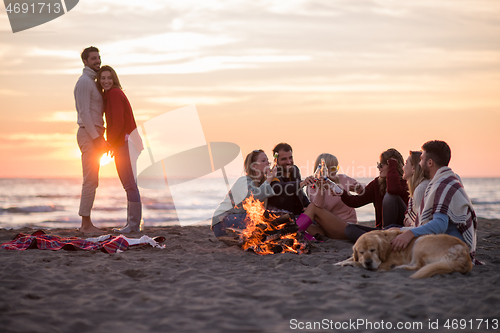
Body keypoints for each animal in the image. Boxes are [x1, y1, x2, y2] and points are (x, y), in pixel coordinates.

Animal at [336, 228, 472, 278]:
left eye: (373, 250)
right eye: (361, 252)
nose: (368, 262)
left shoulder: (385, 264)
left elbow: (358, 263)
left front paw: (350, 263)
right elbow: (352, 258)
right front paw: (341, 261)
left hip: (421, 241)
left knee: (419, 266)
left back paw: (401, 267)